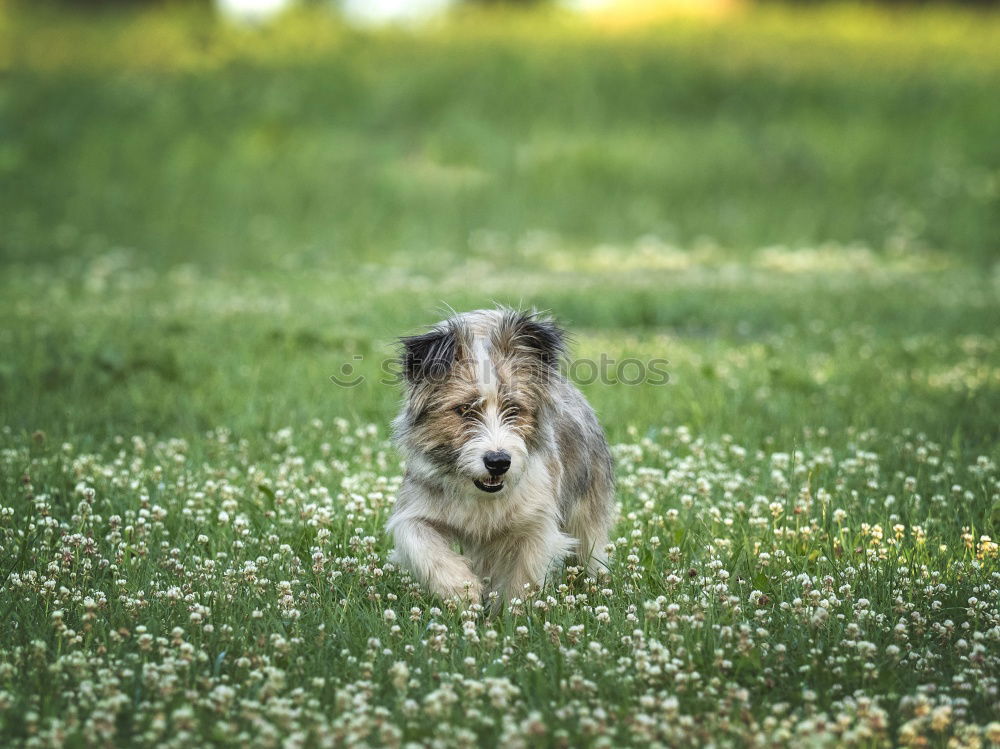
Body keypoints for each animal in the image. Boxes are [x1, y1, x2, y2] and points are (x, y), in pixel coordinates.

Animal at [386, 306, 612, 604]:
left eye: (513, 409)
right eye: (464, 410)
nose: (498, 462)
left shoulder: (536, 522)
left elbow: (522, 578)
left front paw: (511, 613)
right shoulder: (417, 508)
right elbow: (419, 540)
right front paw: (461, 590)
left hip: (586, 510)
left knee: (590, 547)